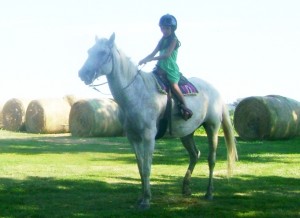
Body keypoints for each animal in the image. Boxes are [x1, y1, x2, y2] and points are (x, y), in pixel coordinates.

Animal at [78, 33, 238, 209]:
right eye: (89, 51)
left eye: (102, 52)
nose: (83, 73)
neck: (136, 93)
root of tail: (216, 92)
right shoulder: (133, 138)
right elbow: (140, 167)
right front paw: (141, 197)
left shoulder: (148, 137)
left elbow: (147, 167)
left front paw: (146, 200)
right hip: (187, 133)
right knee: (195, 155)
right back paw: (186, 188)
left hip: (212, 127)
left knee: (211, 159)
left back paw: (209, 193)